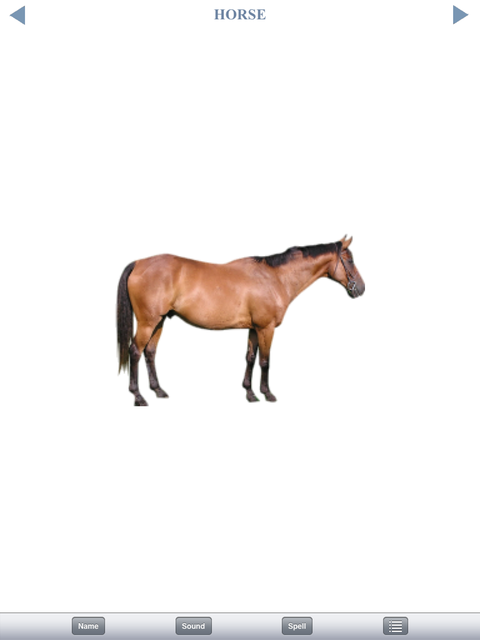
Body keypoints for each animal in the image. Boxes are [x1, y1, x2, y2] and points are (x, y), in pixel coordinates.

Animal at [116, 236, 365, 405]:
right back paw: (138, 397)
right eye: (350, 260)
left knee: (150, 353)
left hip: (158, 322)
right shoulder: (266, 328)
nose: (361, 288)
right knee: (135, 351)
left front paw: (250, 393)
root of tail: (138, 263)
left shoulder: (254, 328)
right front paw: (267, 393)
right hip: (148, 323)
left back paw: (158, 391)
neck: (274, 277)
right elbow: (265, 361)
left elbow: (250, 358)